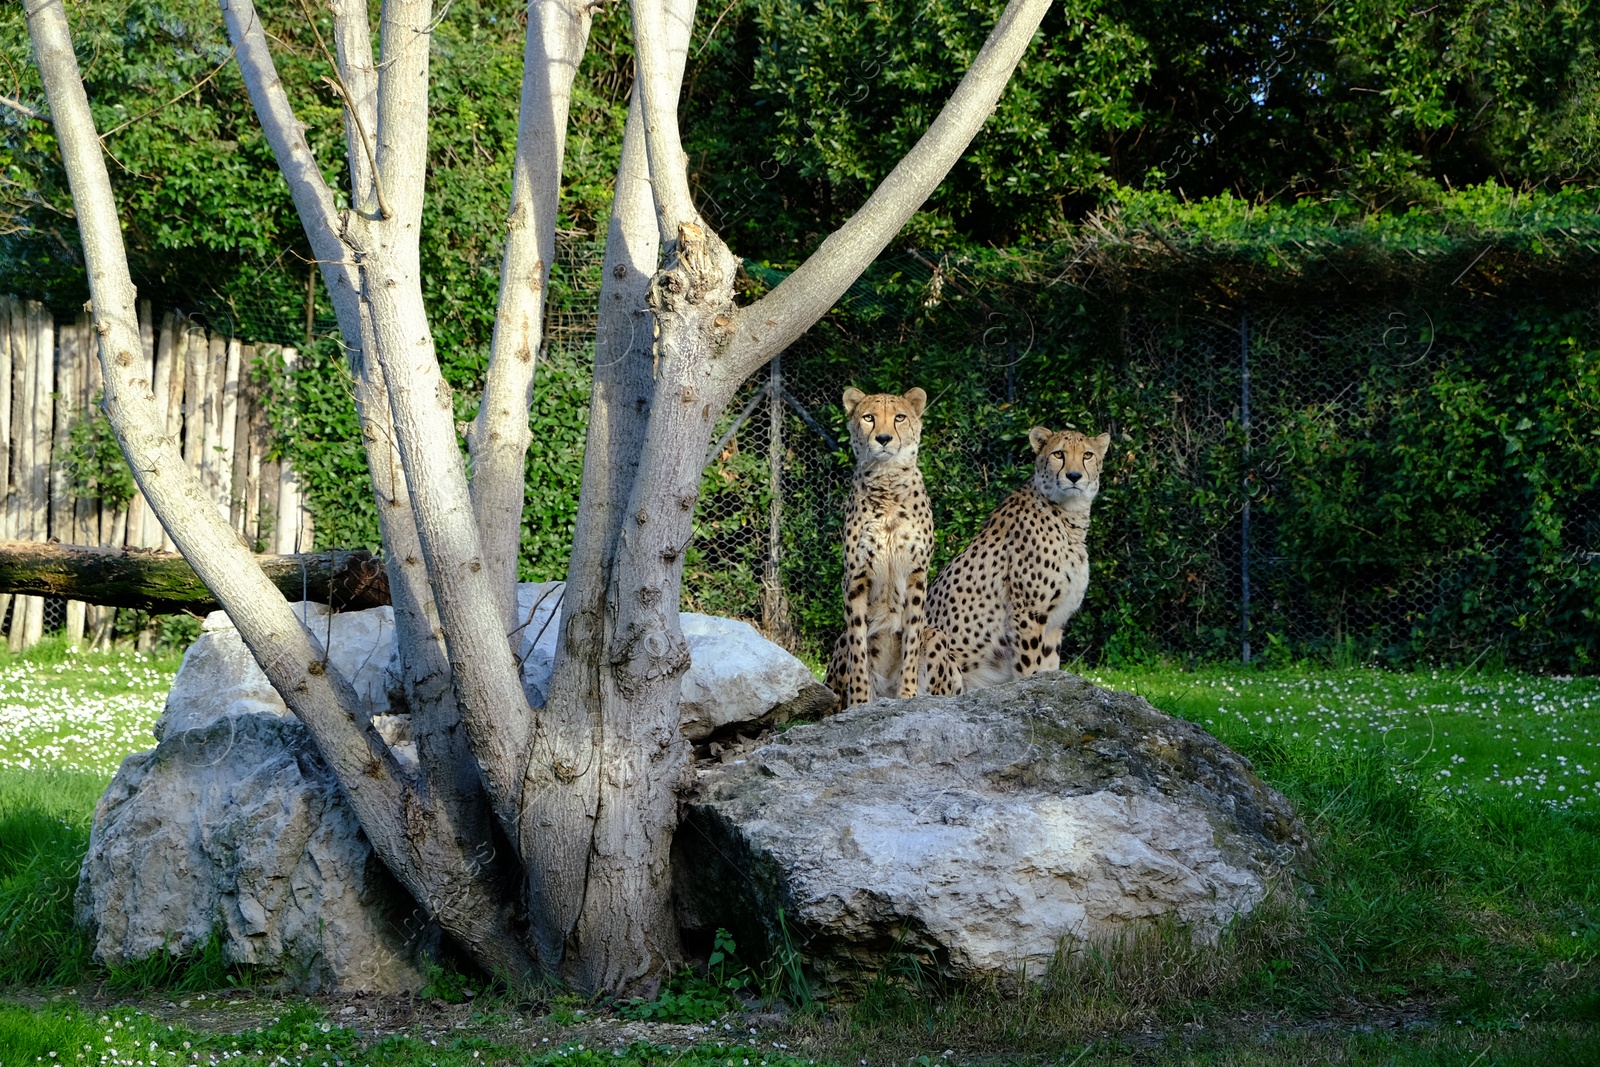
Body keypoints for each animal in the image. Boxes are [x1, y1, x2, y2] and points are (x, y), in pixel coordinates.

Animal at [825, 385, 960, 710]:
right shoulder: (855, 578)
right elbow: (859, 649)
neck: (886, 483)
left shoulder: (916, 575)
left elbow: (910, 640)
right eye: (868, 418)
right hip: (839, 641)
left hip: (936, 636)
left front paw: (908, 694)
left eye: (899, 417)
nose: (884, 438)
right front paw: (861, 703)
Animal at [928, 425, 1113, 694]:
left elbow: (1049, 668)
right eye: (1059, 454)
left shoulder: (1054, 623)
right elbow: (1030, 668)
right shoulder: (1028, 613)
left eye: (1087, 455)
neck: (1068, 516)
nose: (1074, 476)